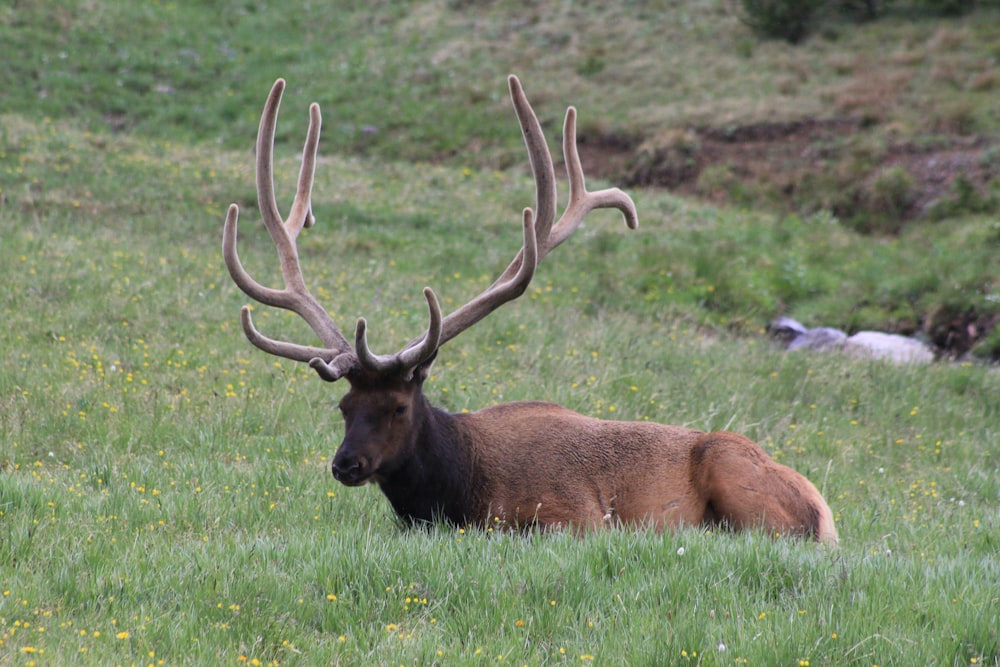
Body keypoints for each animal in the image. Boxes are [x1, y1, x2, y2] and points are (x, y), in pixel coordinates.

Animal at [225, 74, 836, 544]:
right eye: (344, 407)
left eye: (398, 406)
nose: (344, 463)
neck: (457, 492)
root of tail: (825, 512)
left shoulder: (578, 516)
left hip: (739, 481)